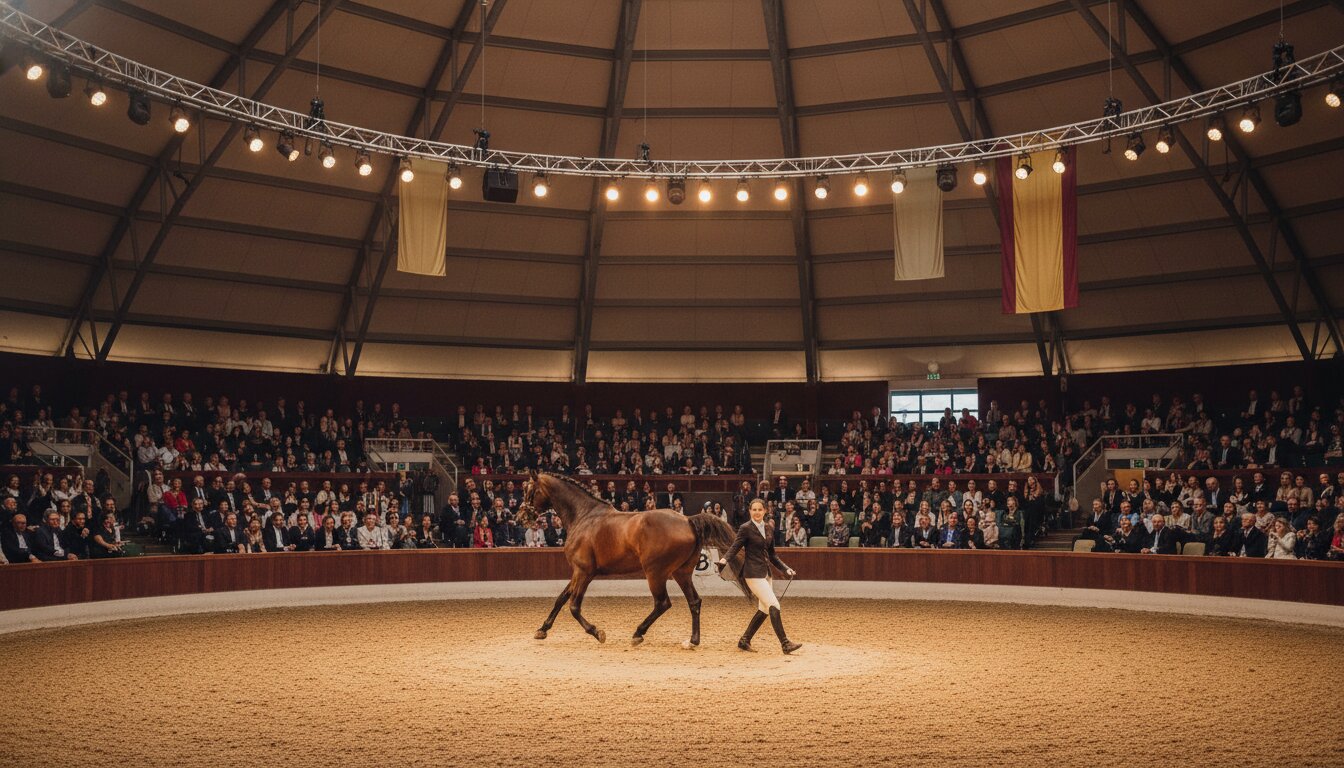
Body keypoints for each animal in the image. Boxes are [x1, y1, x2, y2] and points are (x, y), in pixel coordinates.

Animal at [518, 471, 738, 647]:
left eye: (529, 490)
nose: (521, 516)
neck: (584, 517)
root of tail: (688, 520)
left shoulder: (584, 572)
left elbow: (573, 606)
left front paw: (597, 632)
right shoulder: (577, 572)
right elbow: (561, 599)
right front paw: (542, 630)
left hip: (655, 573)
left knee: (662, 603)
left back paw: (638, 633)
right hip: (681, 573)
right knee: (694, 602)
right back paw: (693, 640)